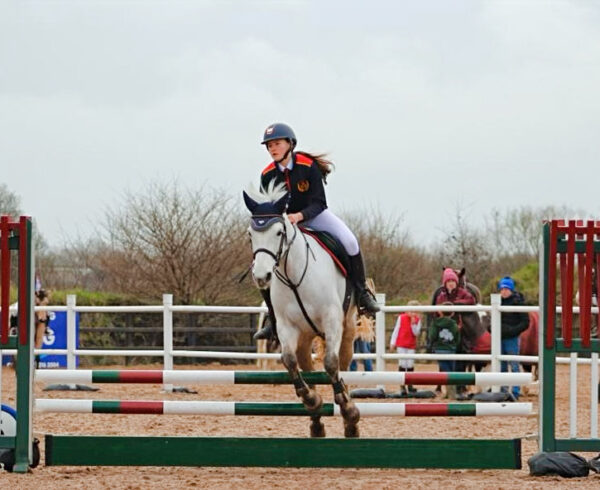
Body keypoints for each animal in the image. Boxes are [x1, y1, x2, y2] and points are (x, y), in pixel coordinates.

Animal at [243, 183, 360, 438]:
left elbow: (331, 362)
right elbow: (288, 360)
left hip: (347, 329)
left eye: (279, 232)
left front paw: (347, 409)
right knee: (306, 366)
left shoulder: (332, 319)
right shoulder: (286, 327)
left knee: (343, 365)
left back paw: (350, 419)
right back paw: (316, 423)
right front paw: (311, 400)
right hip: (305, 339)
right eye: (250, 234)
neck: (293, 276)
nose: (262, 276)